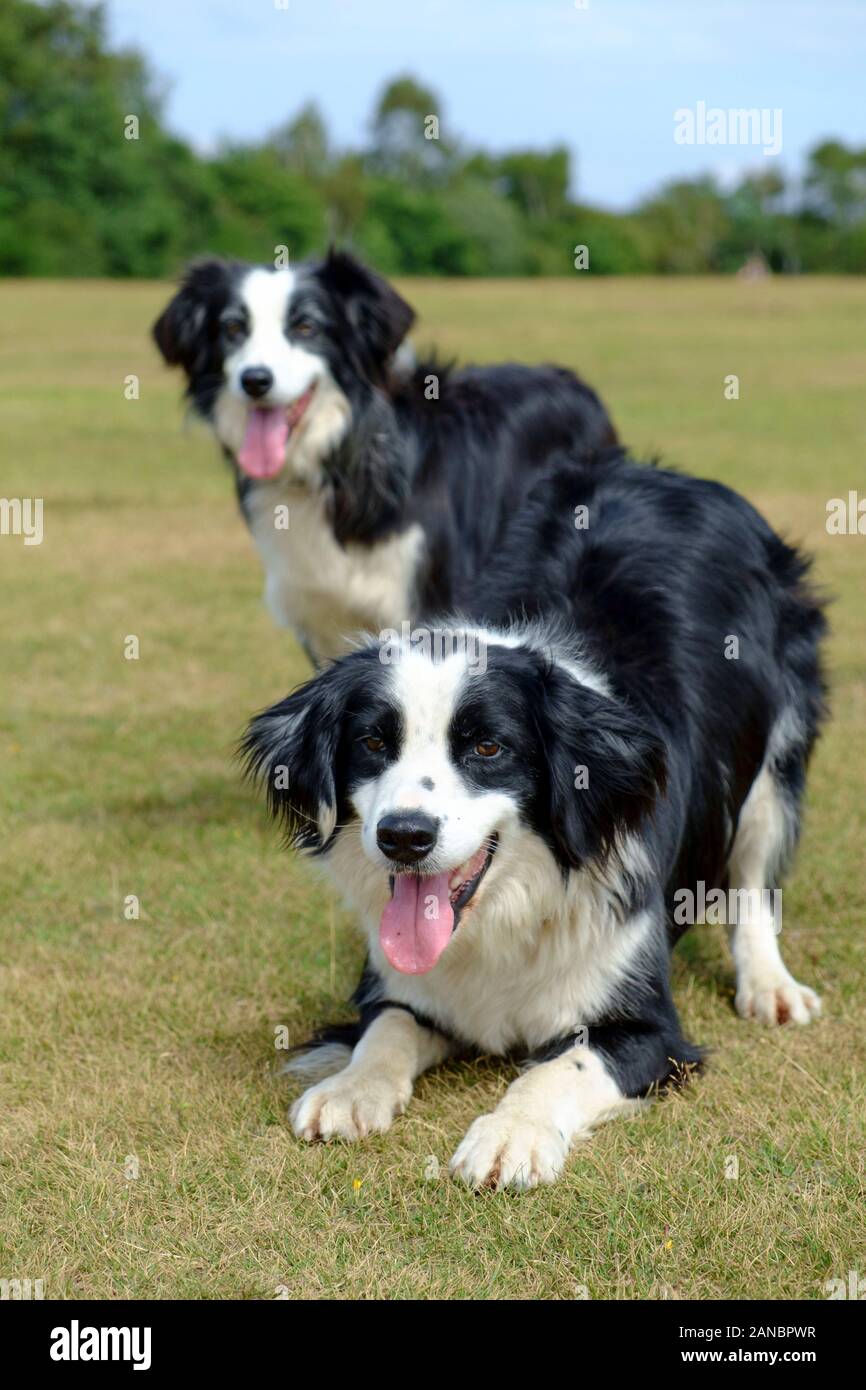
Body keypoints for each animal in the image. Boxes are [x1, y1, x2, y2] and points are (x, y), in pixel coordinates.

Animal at [154, 255, 617, 667]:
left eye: (306, 326)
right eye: (233, 327)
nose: (254, 380)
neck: (340, 462)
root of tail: (574, 380)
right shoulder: (321, 617)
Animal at [241, 450, 828, 1189]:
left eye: (489, 748)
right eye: (372, 742)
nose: (403, 837)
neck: (508, 909)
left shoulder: (647, 1027)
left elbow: (560, 1066)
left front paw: (510, 1134)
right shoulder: (400, 985)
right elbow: (388, 1026)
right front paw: (349, 1090)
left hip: (779, 743)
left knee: (753, 870)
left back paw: (771, 986)